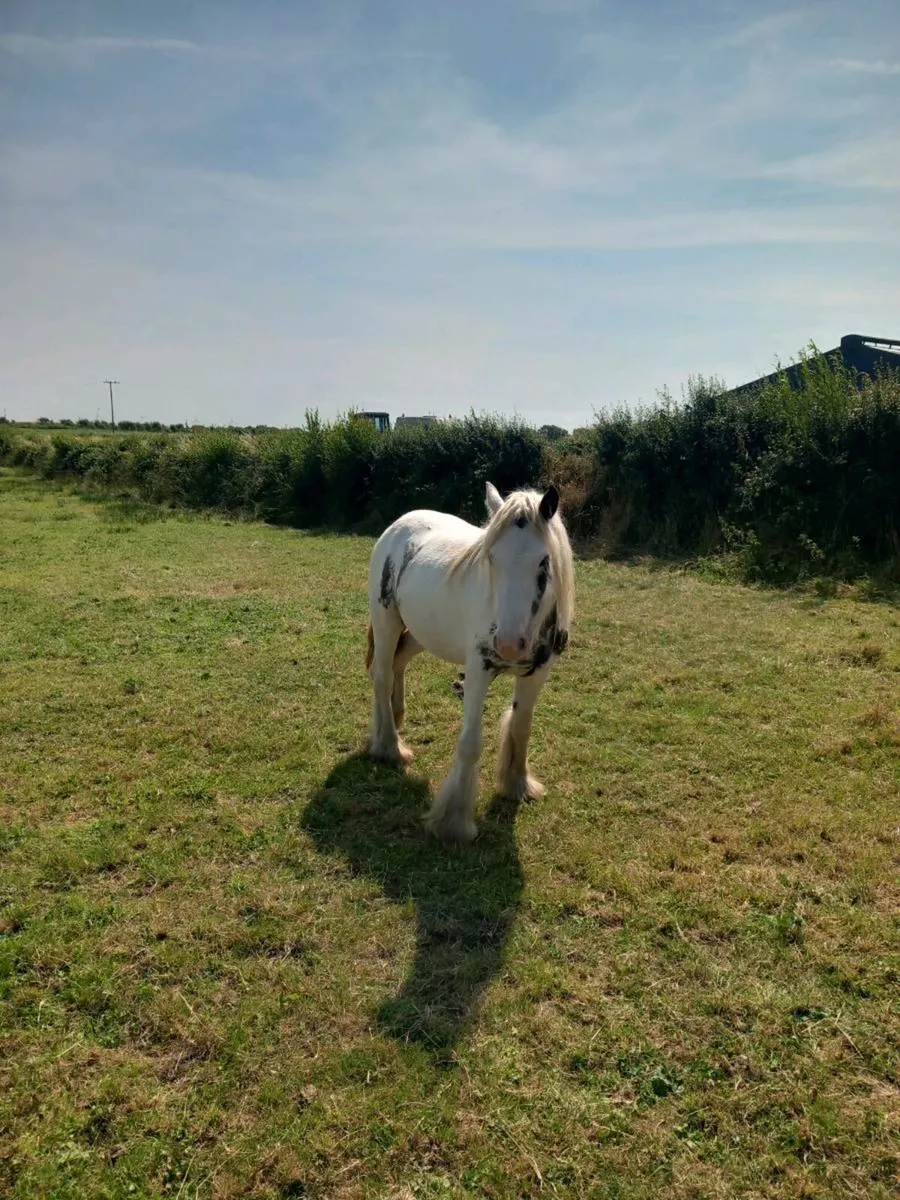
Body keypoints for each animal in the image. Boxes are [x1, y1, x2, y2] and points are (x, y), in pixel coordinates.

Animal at [365, 481, 575, 843]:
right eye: (491, 558)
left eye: (544, 562)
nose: (508, 644)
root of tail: (401, 523)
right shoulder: (477, 671)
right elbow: (470, 743)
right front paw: (453, 822)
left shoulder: (537, 675)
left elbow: (521, 728)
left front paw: (517, 785)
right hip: (385, 620)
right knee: (381, 675)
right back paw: (391, 747)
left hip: (422, 632)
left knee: (397, 664)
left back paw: (391, 721)